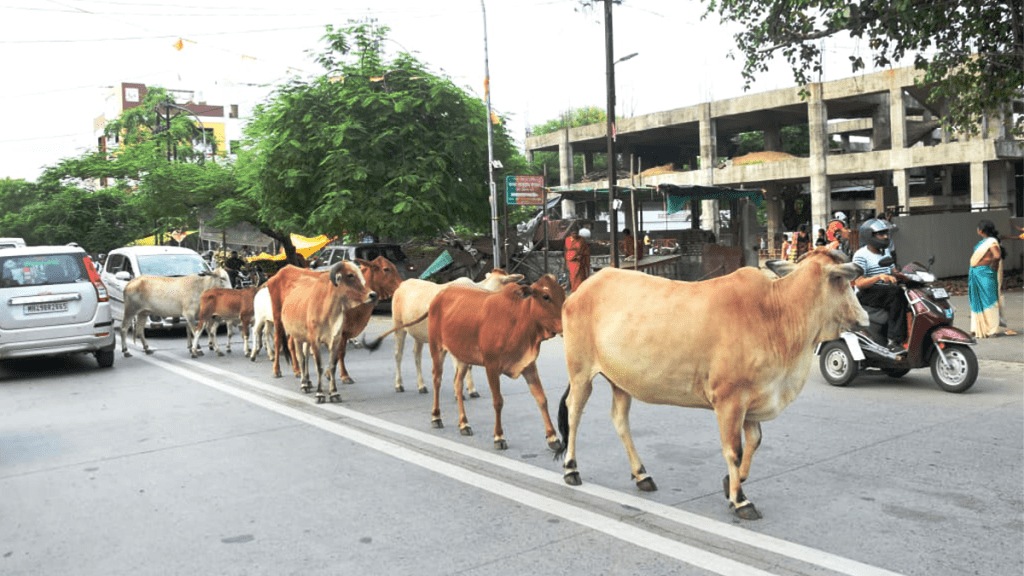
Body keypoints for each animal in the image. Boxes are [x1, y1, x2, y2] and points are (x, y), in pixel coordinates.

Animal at [266, 260, 378, 399]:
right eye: (350, 275)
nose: (373, 295)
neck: (328, 311)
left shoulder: (335, 340)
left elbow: (332, 365)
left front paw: (334, 392)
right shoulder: (315, 340)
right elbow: (319, 366)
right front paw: (320, 394)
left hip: (305, 337)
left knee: (305, 356)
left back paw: (308, 381)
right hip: (285, 326)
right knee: (294, 353)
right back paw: (295, 379)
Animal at [425, 272, 565, 448]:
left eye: (563, 294)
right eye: (546, 296)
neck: (519, 320)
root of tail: (440, 294)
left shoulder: (529, 365)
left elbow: (541, 398)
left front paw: (553, 438)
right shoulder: (491, 366)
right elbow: (498, 401)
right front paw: (499, 436)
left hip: (462, 356)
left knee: (457, 383)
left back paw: (464, 424)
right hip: (436, 348)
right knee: (437, 380)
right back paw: (436, 417)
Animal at [557, 249, 868, 518]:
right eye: (842, 280)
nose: (864, 318)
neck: (775, 313)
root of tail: (582, 288)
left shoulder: (752, 400)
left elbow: (754, 442)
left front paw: (730, 484)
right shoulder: (730, 401)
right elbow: (734, 450)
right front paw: (741, 500)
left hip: (620, 381)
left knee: (620, 420)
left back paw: (642, 474)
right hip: (581, 372)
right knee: (574, 412)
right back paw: (571, 469)